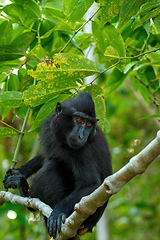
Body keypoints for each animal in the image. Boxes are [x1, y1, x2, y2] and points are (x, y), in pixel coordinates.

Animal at [3, 92, 112, 238]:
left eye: (89, 123)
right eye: (79, 120)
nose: (82, 136)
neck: (62, 137)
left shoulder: (83, 150)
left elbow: (90, 184)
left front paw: (58, 213)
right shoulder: (49, 127)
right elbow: (44, 155)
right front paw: (19, 171)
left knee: (52, 166)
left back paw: (26, 194)